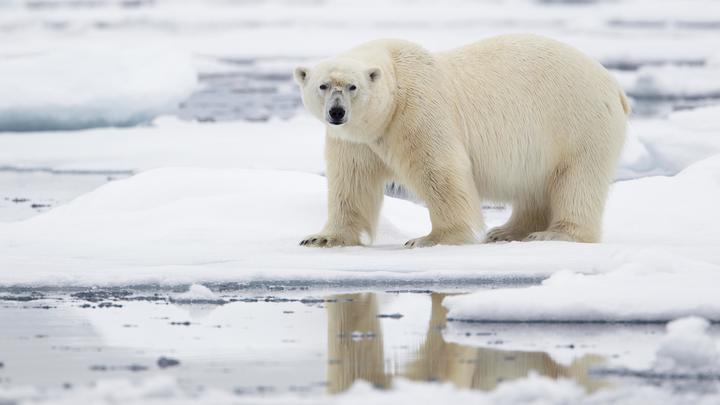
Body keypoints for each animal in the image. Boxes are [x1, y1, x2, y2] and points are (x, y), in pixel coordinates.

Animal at [296, 34, 628, 248]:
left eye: (352, 86)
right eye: (323, 85)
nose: (337, 112)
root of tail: (614, 85)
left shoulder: (417, 110)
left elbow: (439, 171)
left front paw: (432, 238)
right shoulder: (357, 140)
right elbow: (352, 181)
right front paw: (321, 237)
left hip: (577, 123)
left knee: (577, 179)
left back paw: (555, 234)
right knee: (534, 188)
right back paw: (507, 231)